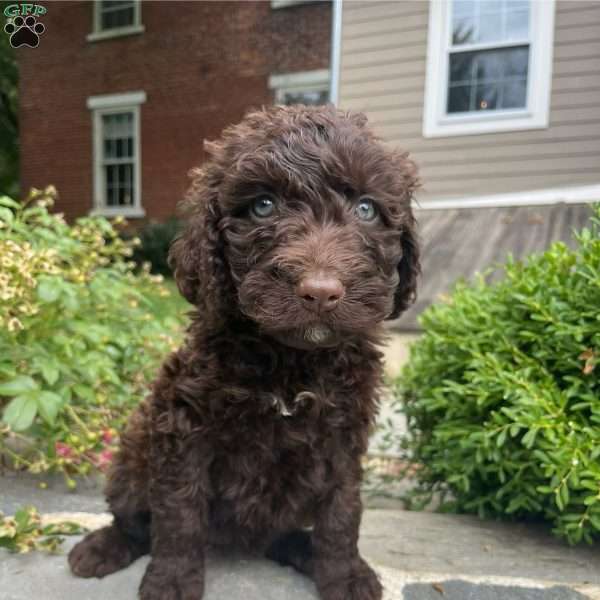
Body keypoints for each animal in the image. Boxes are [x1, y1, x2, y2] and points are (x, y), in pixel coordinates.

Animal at [68, 105, 420, 596]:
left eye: (366, 209)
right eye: (263, 206)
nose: (321, 292)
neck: (293, 360)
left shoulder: (343, 435)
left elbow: (342, 512)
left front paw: (345, 574)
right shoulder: (185, 427)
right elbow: (179, 513)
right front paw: (172, 580)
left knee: (280, 532)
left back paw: (300, 549)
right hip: (134, 448)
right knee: (134, 518)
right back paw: (104, 547)